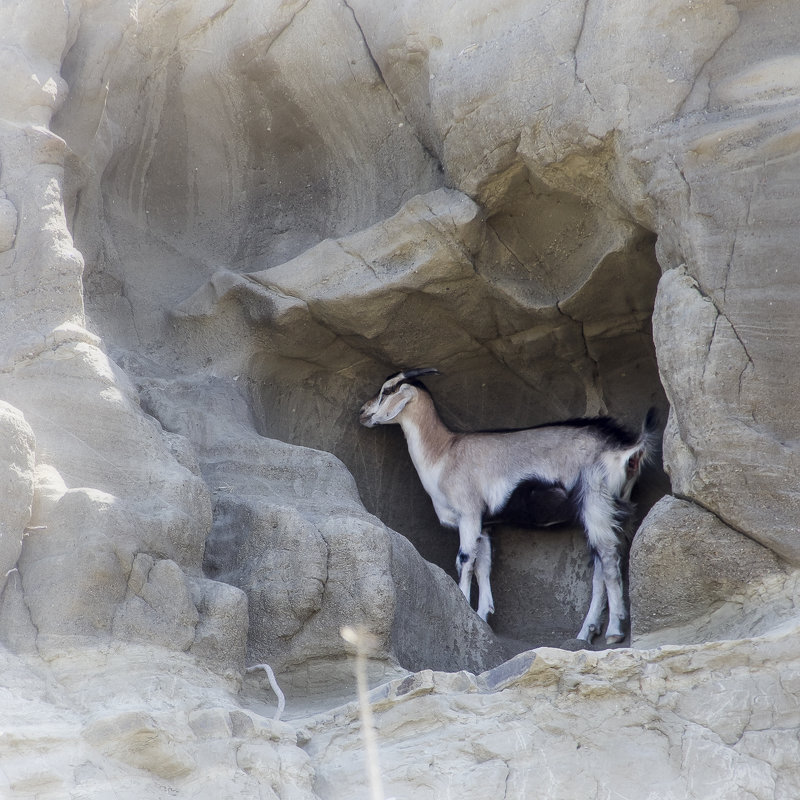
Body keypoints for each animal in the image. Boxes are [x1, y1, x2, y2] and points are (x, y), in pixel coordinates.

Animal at [360, 368, 660, 644]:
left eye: (387, 390)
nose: (363, 412)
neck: (445, 452)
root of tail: (625, 449)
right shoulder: (486, 524)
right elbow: (484, 565)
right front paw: (481, 617)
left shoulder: (469, 514)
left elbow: (465, 560)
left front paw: (464, 607)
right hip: (609, 510)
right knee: (600, 564)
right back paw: (587, 633)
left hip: (595, 502)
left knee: (608, 559)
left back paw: (614, 631)